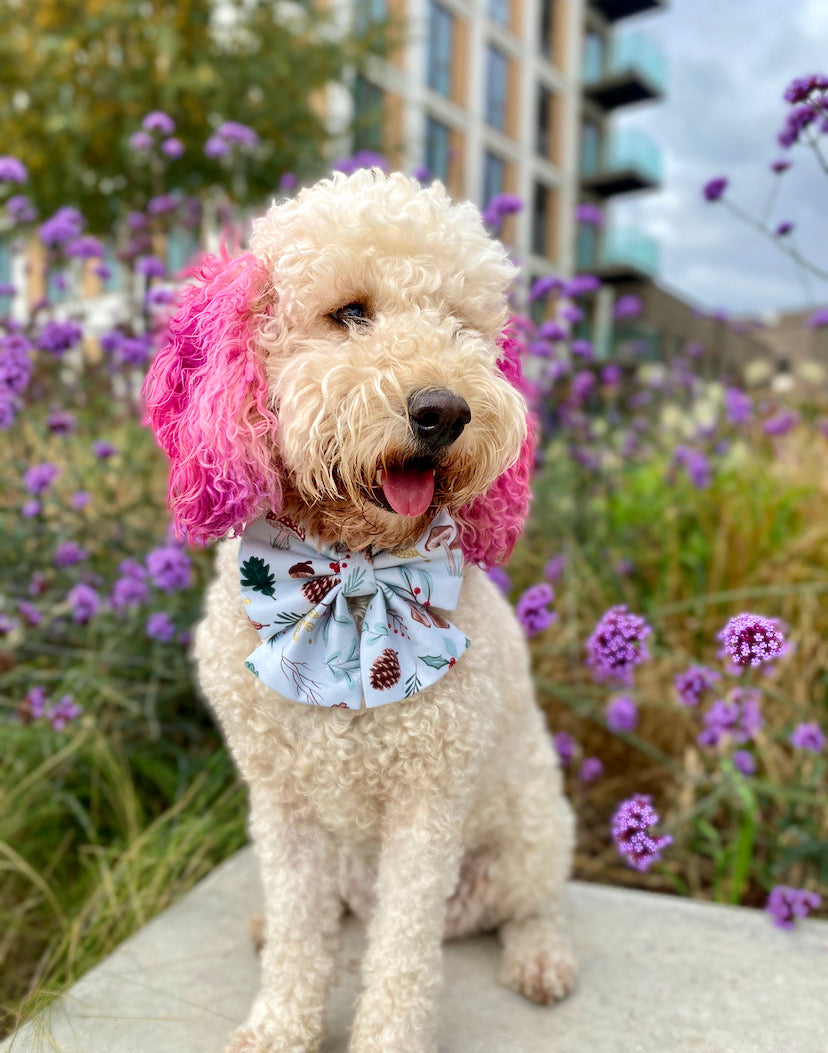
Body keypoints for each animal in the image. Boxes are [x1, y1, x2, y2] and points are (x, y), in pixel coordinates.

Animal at [143, 170, 573, 1053]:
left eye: (462, 325)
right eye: (349, 313)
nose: (445, 410)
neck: (353, 569)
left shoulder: (427, 808)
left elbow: (402, 957)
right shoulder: (283, 804)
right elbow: (302, 933)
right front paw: (279, 1023)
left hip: (531, 832)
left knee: (531, 905)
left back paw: (541, 956)